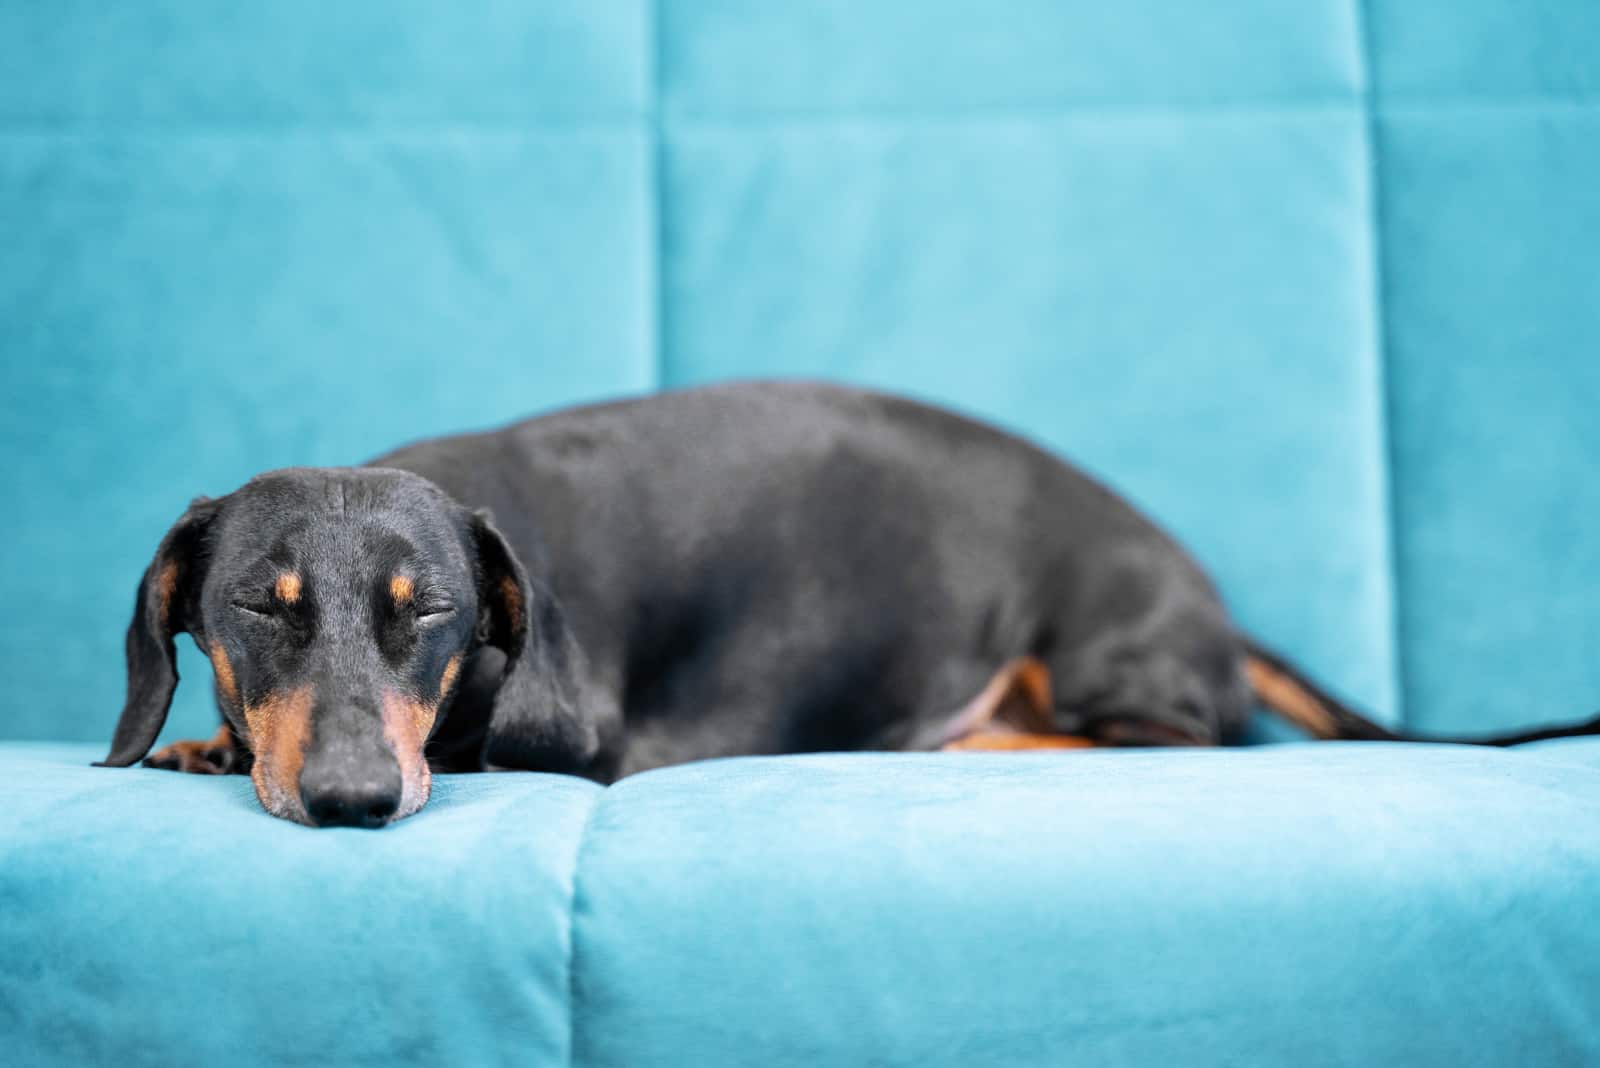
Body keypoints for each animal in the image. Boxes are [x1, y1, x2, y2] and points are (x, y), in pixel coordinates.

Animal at [96, 383, 1600, 824]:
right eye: (259, 607)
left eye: (434, 617)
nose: (352, 801)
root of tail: (1211, 606)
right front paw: (206, 738)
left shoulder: (572, 737)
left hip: (1103, 663)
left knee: (1162, 739)